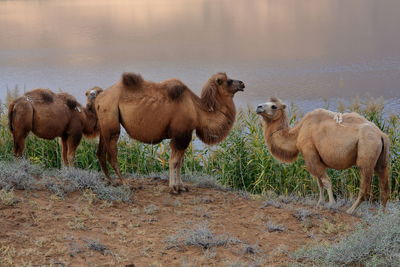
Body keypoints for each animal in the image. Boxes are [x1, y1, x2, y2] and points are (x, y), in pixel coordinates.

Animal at [95, 72, 245, 194]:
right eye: (229, 81)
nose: (242, 83)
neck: (197, 111)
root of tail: (99, 97)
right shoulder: (181, 135)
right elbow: (174, 161)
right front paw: (174, 188)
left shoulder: (183, 135)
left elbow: (179, 161)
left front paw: (182, 186)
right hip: (111, 122)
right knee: (112, 155)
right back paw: (126, 184)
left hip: (104, 125)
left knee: (100, 153)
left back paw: (111, 182)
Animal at [256, 97, 390, 215]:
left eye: (274, 106)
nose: (258, 107)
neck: (297, 133)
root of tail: (381, 135)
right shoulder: (317, 159)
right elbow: (319, 182)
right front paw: (319, 203)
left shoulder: (310, 154)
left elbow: (326, 181)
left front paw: (331, 204)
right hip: (381, 160)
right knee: (384, 184)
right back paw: (381, 212)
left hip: (366, 152)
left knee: (365, 187)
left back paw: (350, 210)